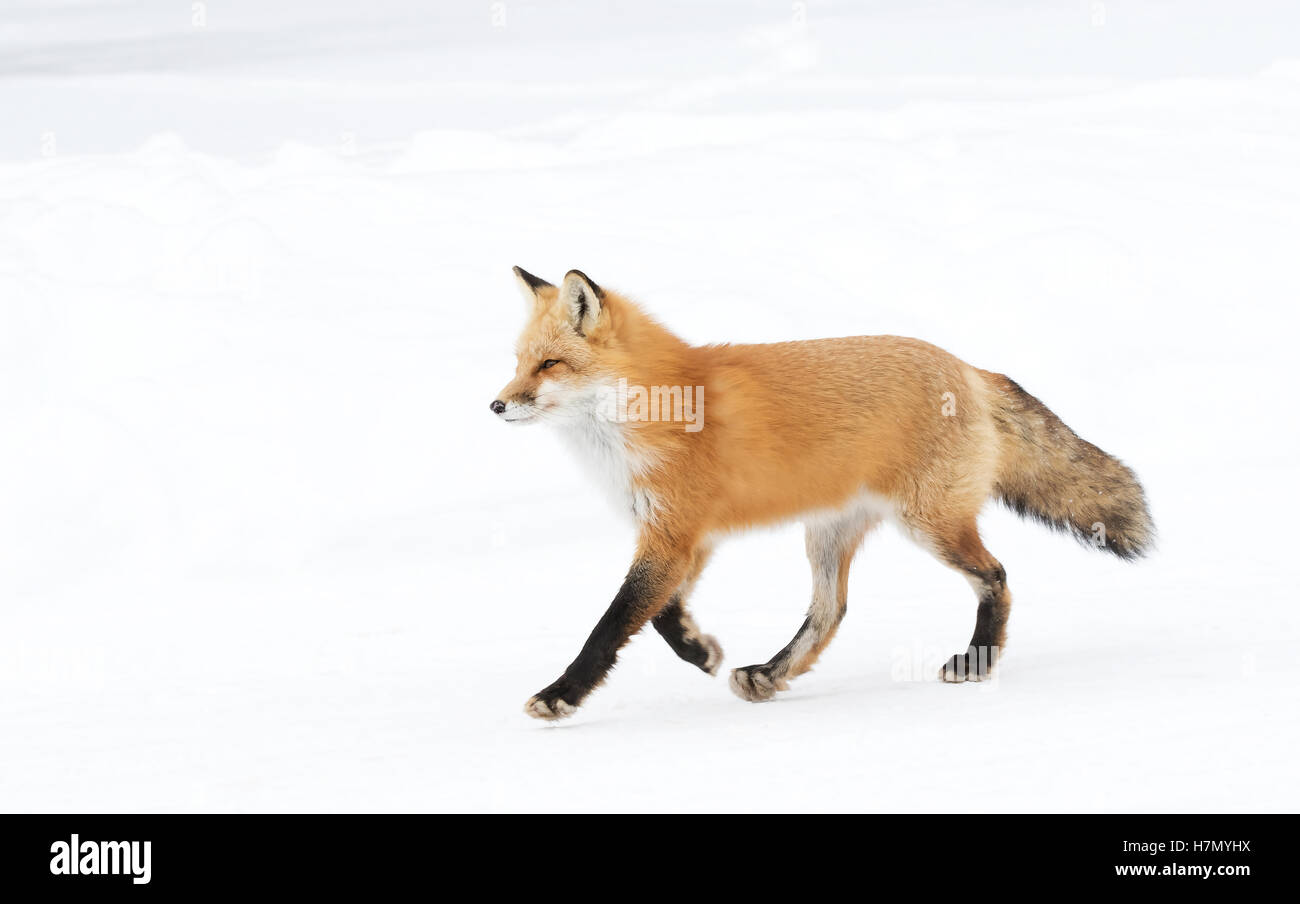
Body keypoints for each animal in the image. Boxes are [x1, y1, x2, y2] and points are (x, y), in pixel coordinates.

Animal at [492, 266, 1153, 720]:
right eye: (519, 362)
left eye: (550, 365)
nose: (496, 405)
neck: (655, 408)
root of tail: (968, 368)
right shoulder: (683, 536)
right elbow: (659, 615)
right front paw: (700, 651)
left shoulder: (673, 534)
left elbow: (612, 623)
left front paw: (560, 695)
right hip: (828, 534)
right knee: (831, 611)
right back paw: (770, 673)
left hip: (929, 524)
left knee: (996, 576)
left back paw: (977, 659)